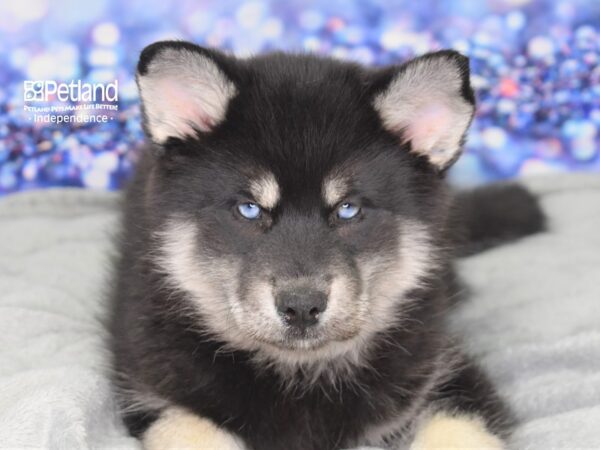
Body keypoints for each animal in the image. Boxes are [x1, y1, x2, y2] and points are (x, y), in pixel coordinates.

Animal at [108, 40, 544, 448]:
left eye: (348, 209)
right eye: (249, 208)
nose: (302, 306)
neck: (300, 373)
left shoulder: (450, 376)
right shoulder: (156, 396)